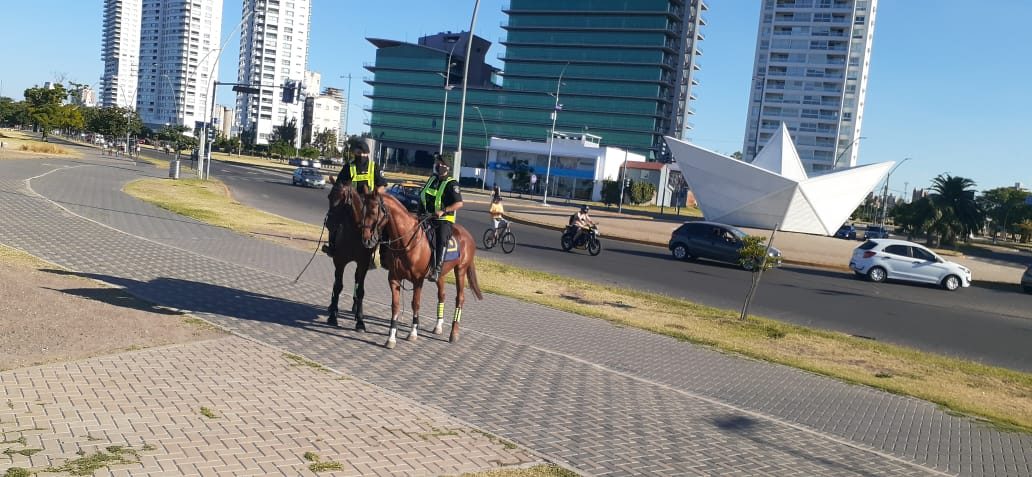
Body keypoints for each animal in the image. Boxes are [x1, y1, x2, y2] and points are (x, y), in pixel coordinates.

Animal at [325, 183, 375, 332]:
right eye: (329, 196)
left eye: (343, 200)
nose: (329, 223)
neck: (355, 232)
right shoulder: (340, 261)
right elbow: (338, 286)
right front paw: (333, 316)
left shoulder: (363, 263)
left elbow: (360, 291)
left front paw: (360, 321)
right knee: (336, 281)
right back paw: (333, 308)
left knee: (357, 281)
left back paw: (357, 309)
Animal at [352, 190, 483, 349]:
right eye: (362, 211)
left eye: (372, 211)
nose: (366, 240)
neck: (407, 241)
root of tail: (467, 235)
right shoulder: (394, 279)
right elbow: (395, 306)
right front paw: (391, 338)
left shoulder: (418, 280)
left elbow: (415, 304)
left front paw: (413, 333)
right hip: (441, 275)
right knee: (442, 295)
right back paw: (438, 326)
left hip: (460, 271)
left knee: (460, 299)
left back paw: (454, 333)